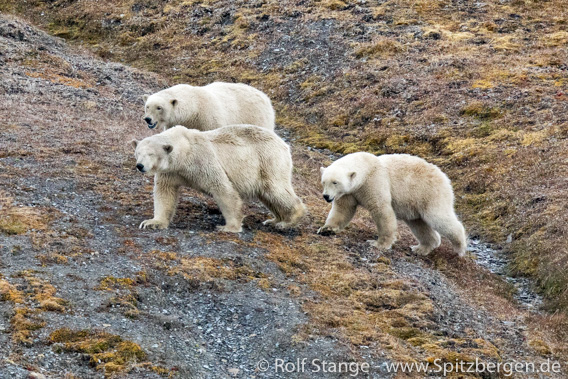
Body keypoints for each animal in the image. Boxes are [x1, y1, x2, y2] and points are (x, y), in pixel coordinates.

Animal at [131, 125, 306, 232]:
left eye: (151, 154)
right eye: (138, 153)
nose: (140, 166)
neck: (185, 152)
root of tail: (283, 144)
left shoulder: (202, 161)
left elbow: (222, 189)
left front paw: (228, 227)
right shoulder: (171, 172)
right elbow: (165, 192)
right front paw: (152, 223)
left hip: (268, 160)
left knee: (275, 190)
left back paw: (288, 221)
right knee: (268, 195)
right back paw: (274, 220)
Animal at [142, 83, 276, 132]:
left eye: (159, 107)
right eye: (147, 106)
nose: (147, 119)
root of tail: (265, 97)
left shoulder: (209, 120)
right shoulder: (176, 123)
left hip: (256, 118)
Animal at [318, 153, 468, 256]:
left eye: (335, 182)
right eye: (324, 182)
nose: (326, 196)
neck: (366, 168)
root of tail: (444, 177)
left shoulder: (374, 182)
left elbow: (381, 209)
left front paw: (378, 244)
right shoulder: (349, 193)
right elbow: (343, 210)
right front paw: (326, 229)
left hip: (430, 193)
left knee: (438, 218)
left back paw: (460, 247)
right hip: (415, 203)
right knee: (418, 224)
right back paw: (421, 248)